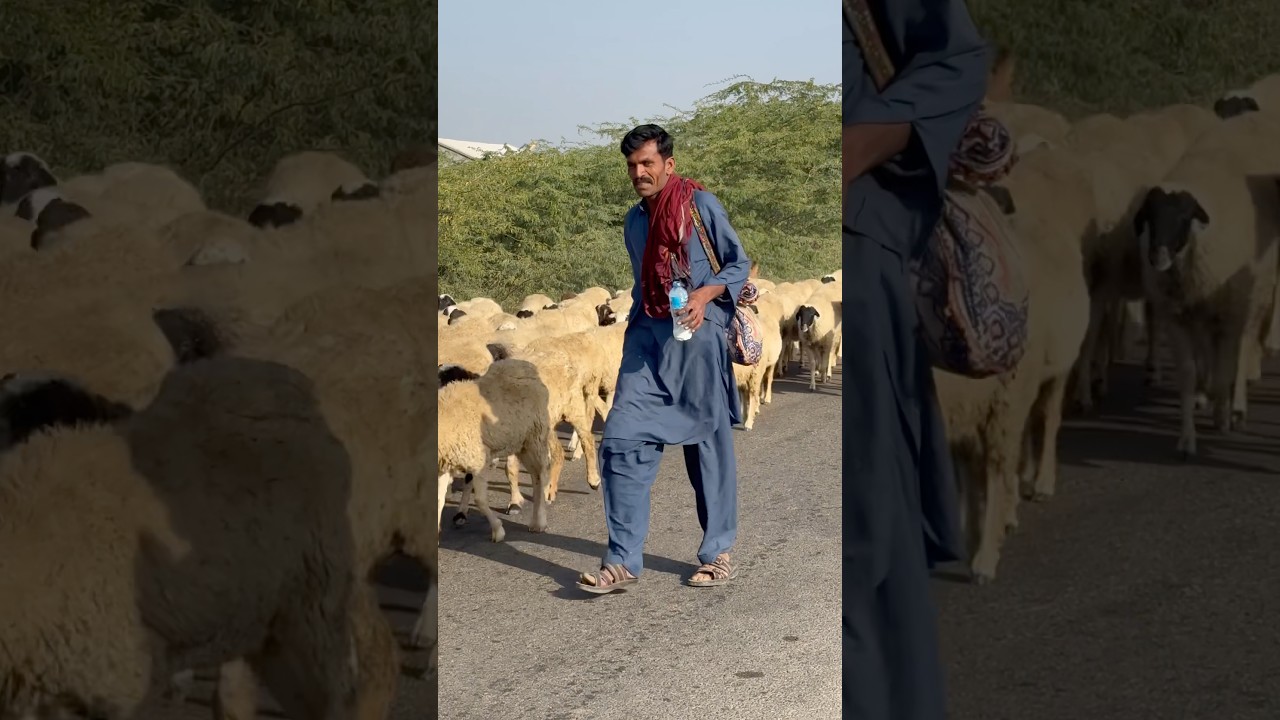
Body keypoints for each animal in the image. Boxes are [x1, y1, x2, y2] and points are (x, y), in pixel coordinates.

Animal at [0, 359, 398, 719]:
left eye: (25, 409)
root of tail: (279, 378)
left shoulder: (112, 683)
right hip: (265, 617)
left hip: (312, 605)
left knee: (340, 690)